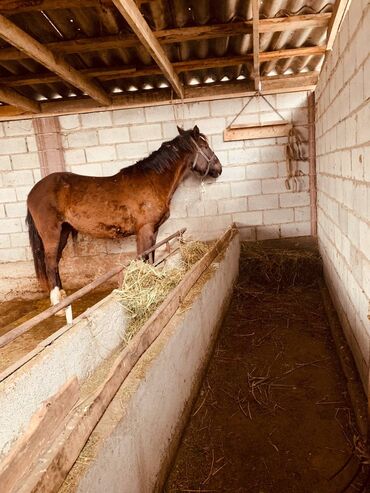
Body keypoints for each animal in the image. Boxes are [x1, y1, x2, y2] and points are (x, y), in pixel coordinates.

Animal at [26, 125, 223, 314]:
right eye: (205, 146)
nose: (219, 169)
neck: (153, 181)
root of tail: (33, 192)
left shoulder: (154, 230)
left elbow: (151, 256)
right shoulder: (144, 230)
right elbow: (143, 256)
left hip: (64, 231)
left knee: (56, 262)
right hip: (51, 233)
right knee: (50, 263)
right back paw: (58, 306)